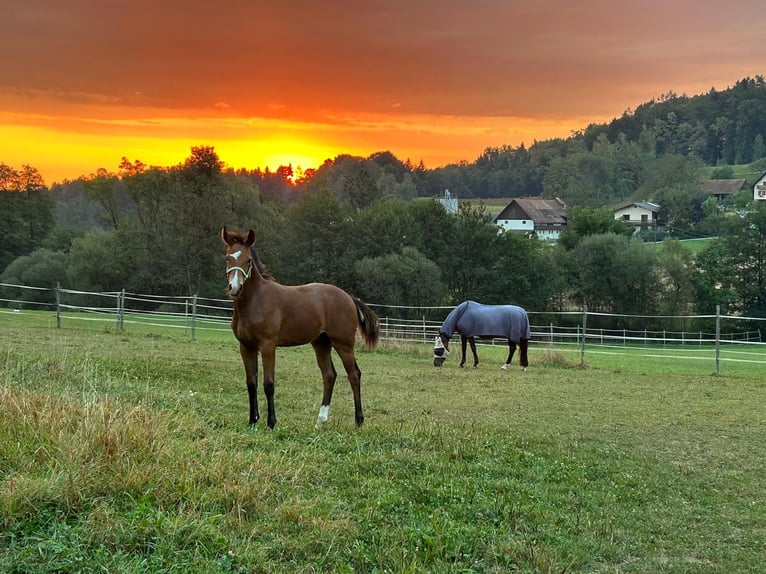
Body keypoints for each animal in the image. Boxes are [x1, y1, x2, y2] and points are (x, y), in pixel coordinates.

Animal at [220, 227, 380, 430]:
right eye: (228, 258)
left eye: (248, 260)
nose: (234, 288)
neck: (256, 300)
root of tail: (349, 297)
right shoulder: (246, 347)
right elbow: (251, 383)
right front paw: (252, 421)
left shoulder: (268, 345)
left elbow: (268, 384)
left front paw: (271, 423)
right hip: (321, 343)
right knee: (329, 375)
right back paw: (320, 422)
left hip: (343, 344)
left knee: (354, 375)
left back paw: (358, 421)